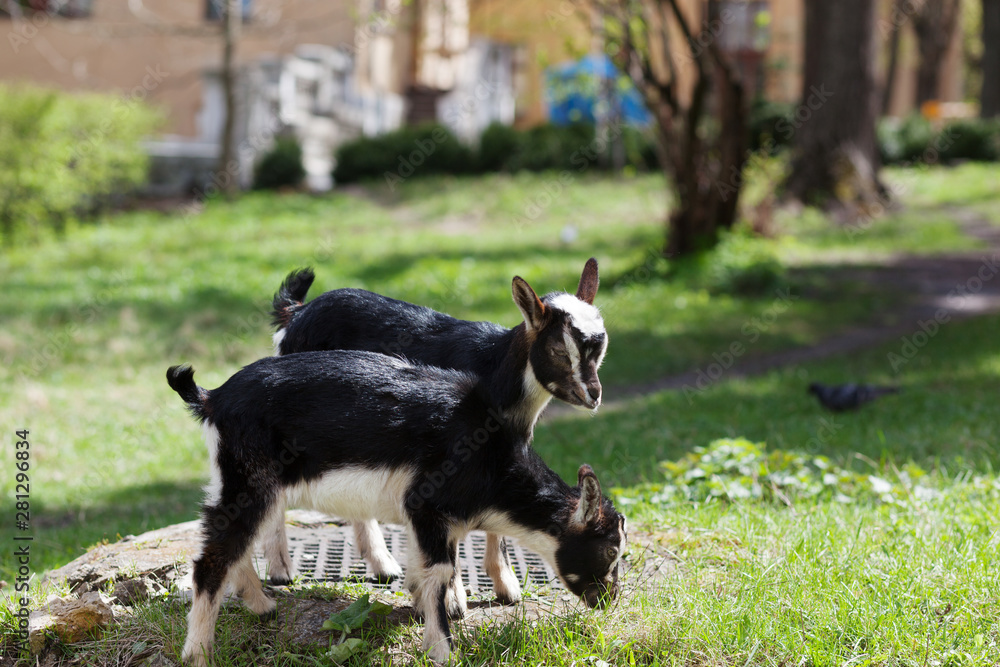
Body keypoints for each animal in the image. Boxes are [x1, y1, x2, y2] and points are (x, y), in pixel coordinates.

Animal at [166, 352, 626, 666]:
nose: (608, 601)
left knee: (235, 543)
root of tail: (213, 398)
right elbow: (439, 571)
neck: (491, 458)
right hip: (249, 480)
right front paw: (442, 650)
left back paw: (261, 605)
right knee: (213, 557)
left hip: (246, 484)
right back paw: (199, 652)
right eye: (610, 549)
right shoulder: (425, 502)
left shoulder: (431, 520)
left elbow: (426, 568)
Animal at [264, 259, 607, 611]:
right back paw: (281, 570)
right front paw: (454, 598)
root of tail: (297, 313)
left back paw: (382, 565)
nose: (593, 395)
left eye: (600, 345)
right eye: (558, 350)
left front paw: (505, 586)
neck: (496, 368)